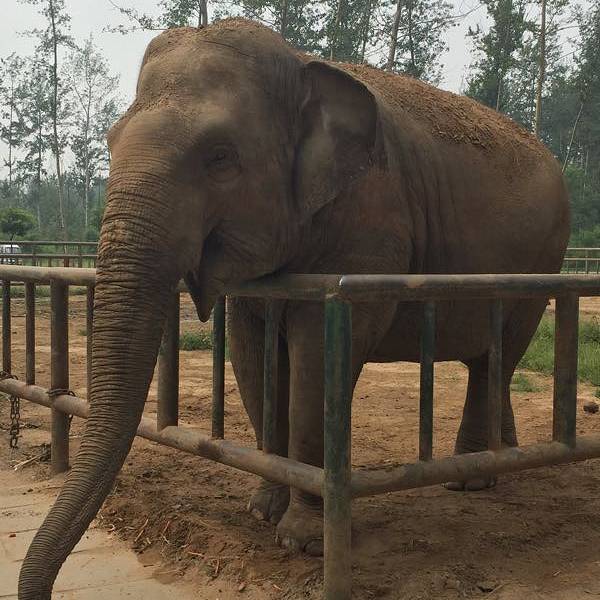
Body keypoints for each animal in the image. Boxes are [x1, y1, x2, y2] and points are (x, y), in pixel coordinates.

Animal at [18, 18, 569, 598]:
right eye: (110, 141)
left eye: (220, 156)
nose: (45, 587)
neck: (300, 63)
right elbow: (251, 356)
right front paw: (261, 509)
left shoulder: (373, 227)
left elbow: (315, 369)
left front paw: (302, 541)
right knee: (489, 361)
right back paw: (501, 460)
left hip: (540, 264)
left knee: (498, 356)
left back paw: (469, 480)